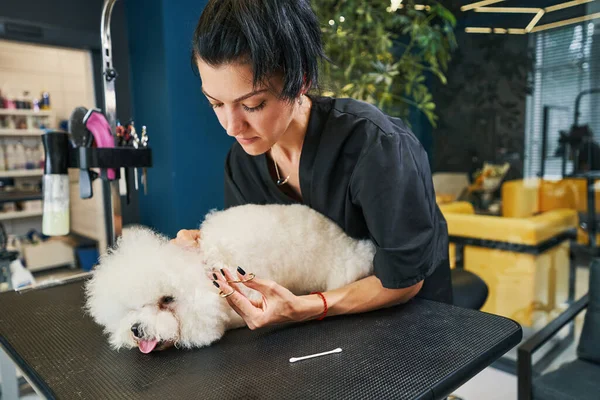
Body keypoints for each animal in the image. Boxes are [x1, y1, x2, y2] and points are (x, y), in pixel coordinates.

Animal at [84, 205, 376, 352]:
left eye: (167, 299)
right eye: (131, 308)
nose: (136, 329)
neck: (206, 266)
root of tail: (348, 240)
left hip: (344, 266)